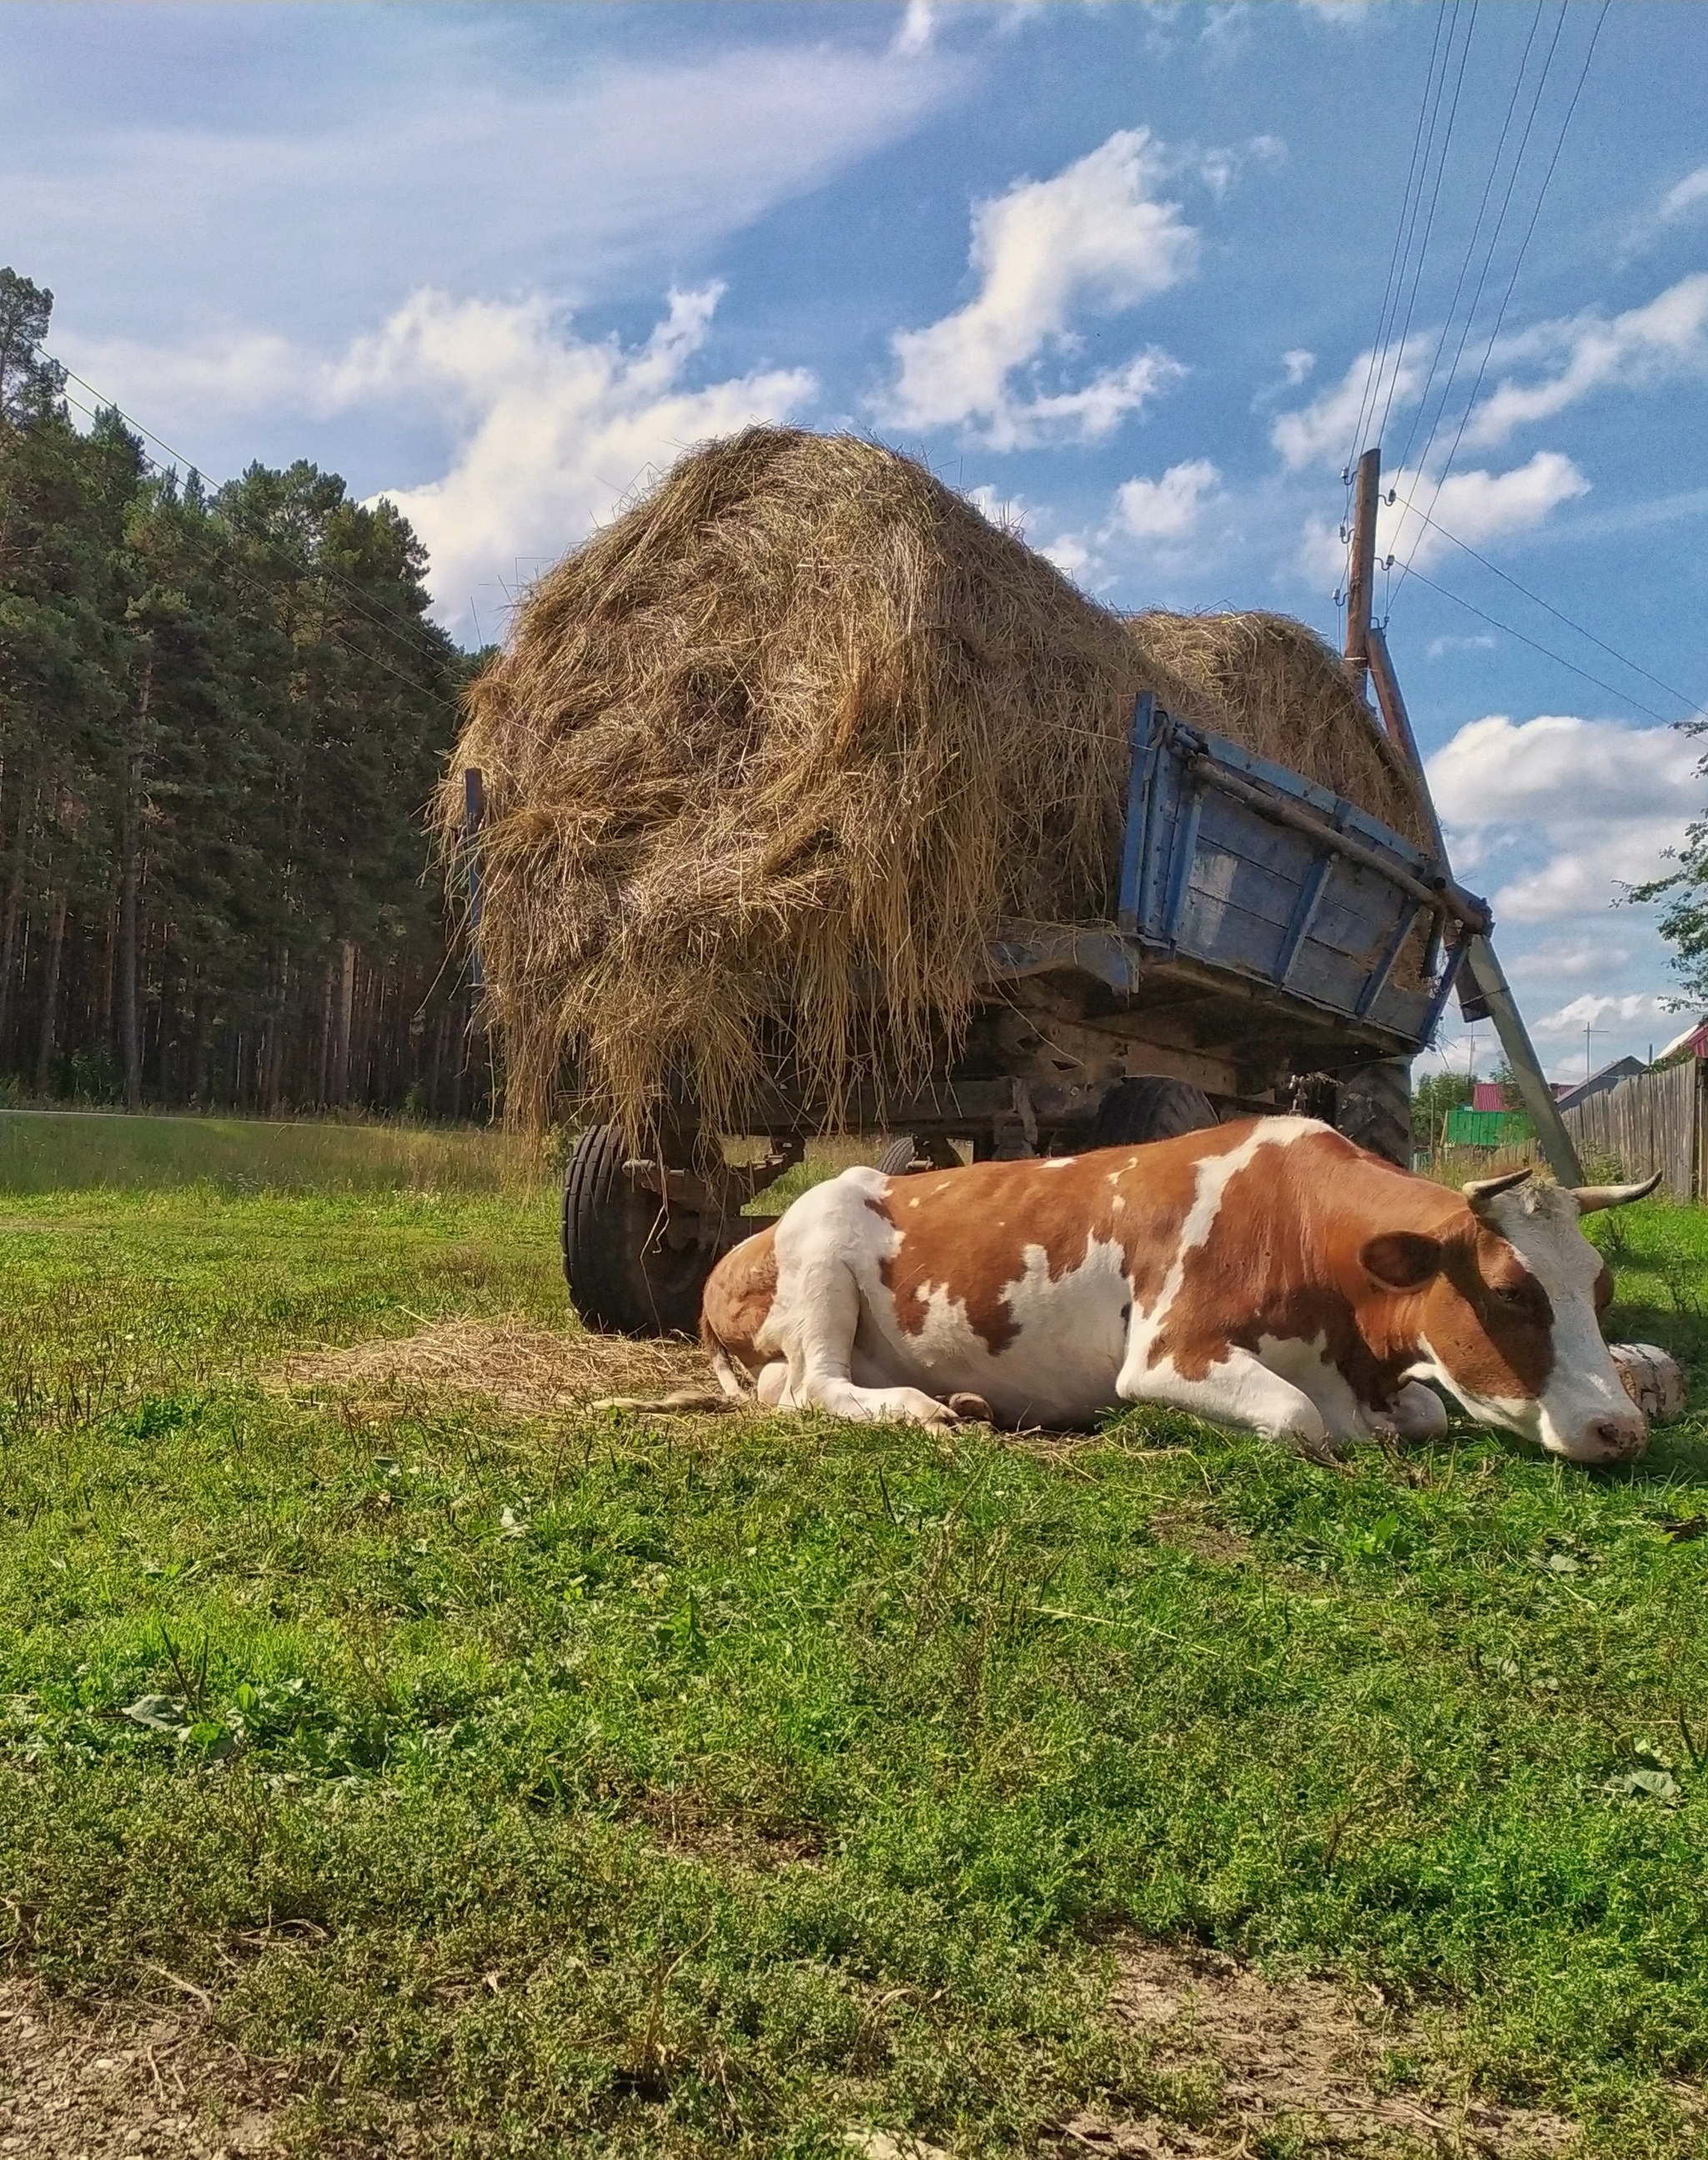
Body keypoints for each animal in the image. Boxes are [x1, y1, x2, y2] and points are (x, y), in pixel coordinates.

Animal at [699, 1114, 1666, 1469]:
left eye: (1600, 1290)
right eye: (1510, 1293)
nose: (1620, 1428)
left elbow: (1426, 1410)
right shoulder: (1169, 1353)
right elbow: (1298, 1421)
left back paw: (968, 1400)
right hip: (821, 1261)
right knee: (815, 1389)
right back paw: (920, 1409)